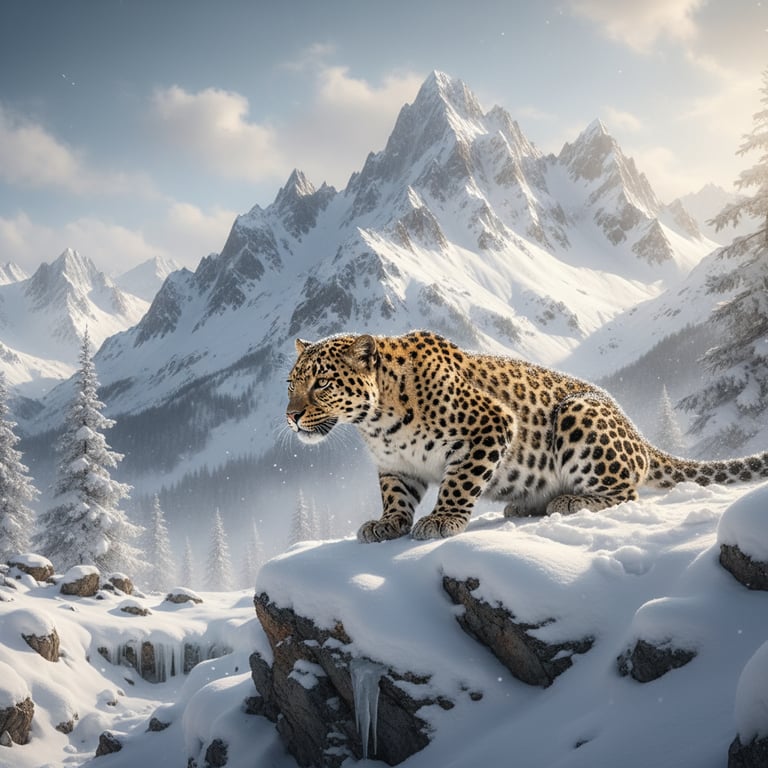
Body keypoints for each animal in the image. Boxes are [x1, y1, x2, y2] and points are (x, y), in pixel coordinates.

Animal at [285, 329, 768, 543]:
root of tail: (637, 432)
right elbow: (395, 497)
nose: (290, 416)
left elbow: (459, 482)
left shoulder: (491, 424)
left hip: (577, 413)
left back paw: (569, 501)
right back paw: (525, 505)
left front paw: (443, 519)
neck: (375, 420)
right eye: (290, 384)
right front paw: (387, 524)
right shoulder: (396, 464)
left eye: (321, 384)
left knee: (627, 493)